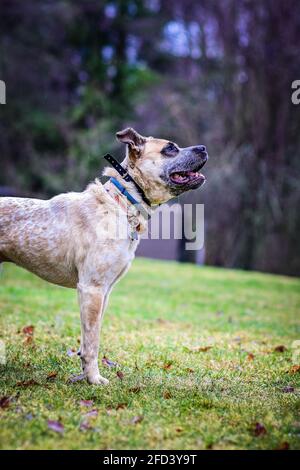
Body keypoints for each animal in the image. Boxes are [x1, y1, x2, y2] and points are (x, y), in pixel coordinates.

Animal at [0, 129, 207, 386]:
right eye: (170, 148)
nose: (204, 148)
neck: (123, 202)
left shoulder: (105, 292)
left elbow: (88, 337)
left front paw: (83, 375)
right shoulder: (92, 288)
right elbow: (92, 342)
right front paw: (93, 379)